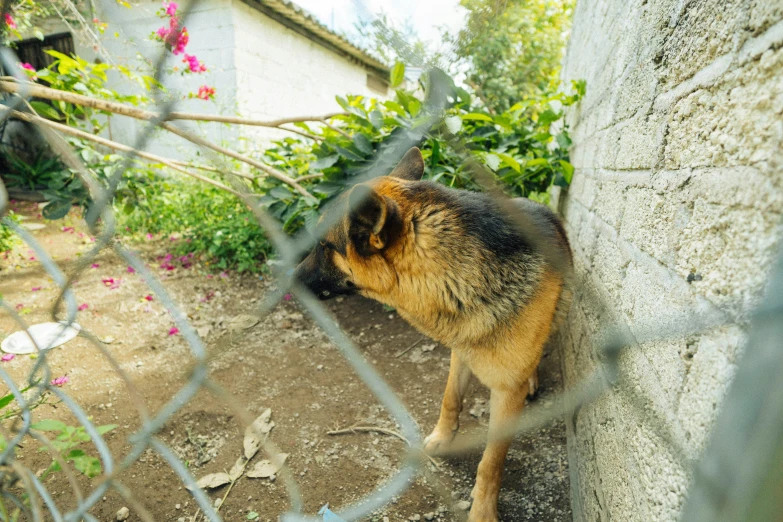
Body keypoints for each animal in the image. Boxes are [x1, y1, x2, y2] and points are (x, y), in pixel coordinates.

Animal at [298, 147, 572, 520]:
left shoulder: (504, 395)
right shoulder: (461, 350)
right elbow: (450, 399)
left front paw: (482, 511)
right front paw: (443, 436)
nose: (284, 275)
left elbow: (491, 462)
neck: (455, 275)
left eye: (325, 246)